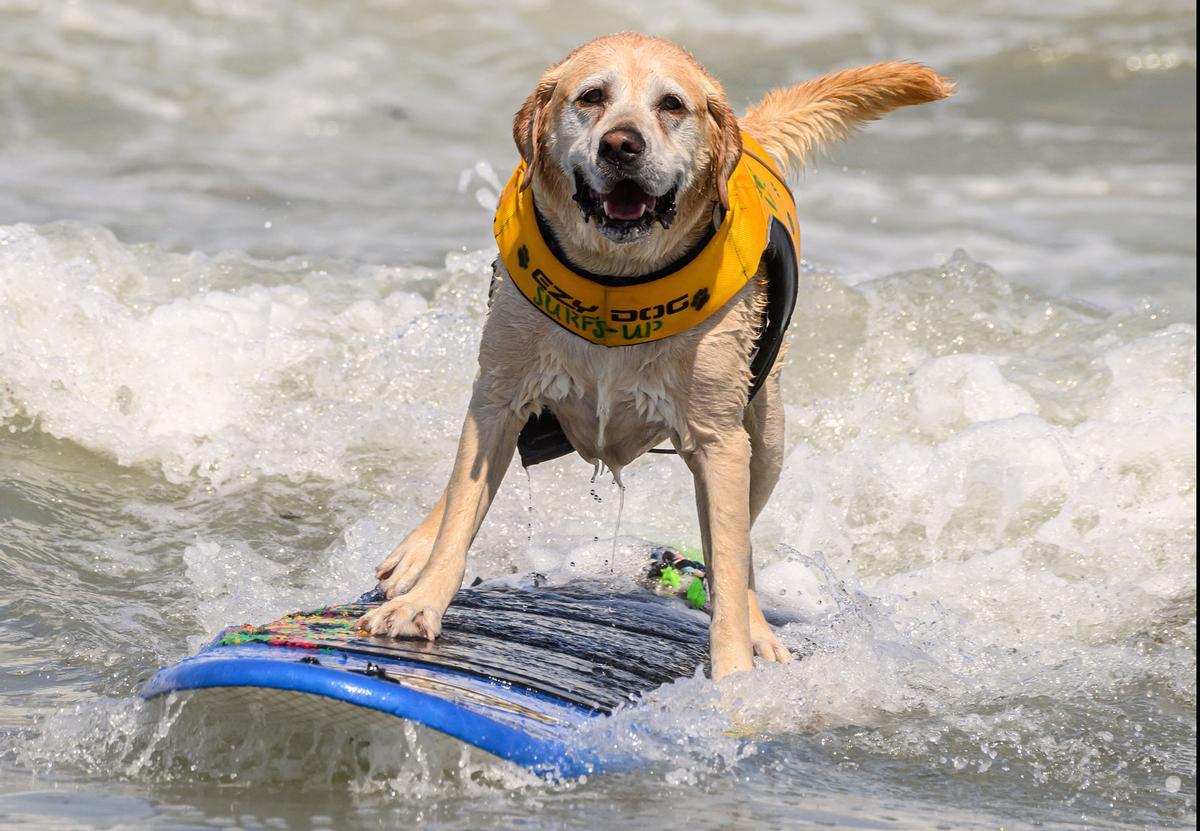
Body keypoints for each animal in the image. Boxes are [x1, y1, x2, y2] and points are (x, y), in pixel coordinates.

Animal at [360, 32, 950, 682]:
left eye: (671, 105)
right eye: (592, 97)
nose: (622, 144)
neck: (616, 282)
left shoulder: (720, 442)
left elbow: (728, 559)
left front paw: (734, 678)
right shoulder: (498, 396)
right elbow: (463, 509)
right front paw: (422, 600)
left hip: (766, 434)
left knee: (740, 548)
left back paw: (760, 633)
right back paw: (412, 554)